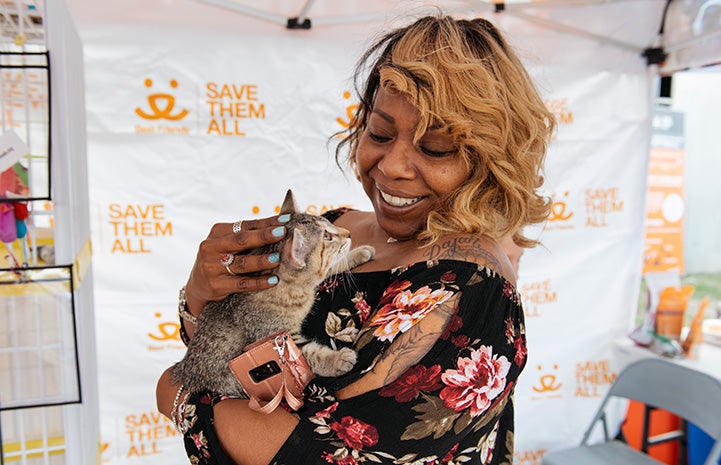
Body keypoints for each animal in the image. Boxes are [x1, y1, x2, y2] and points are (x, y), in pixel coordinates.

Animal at [174, 188, 374, 396]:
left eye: (328, 224)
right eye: (327, 236)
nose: (348, 234)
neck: (297, 291)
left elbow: (327, 269)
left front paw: (358, 253)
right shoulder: (276, 336)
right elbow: (309, 354)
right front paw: (337, 360)